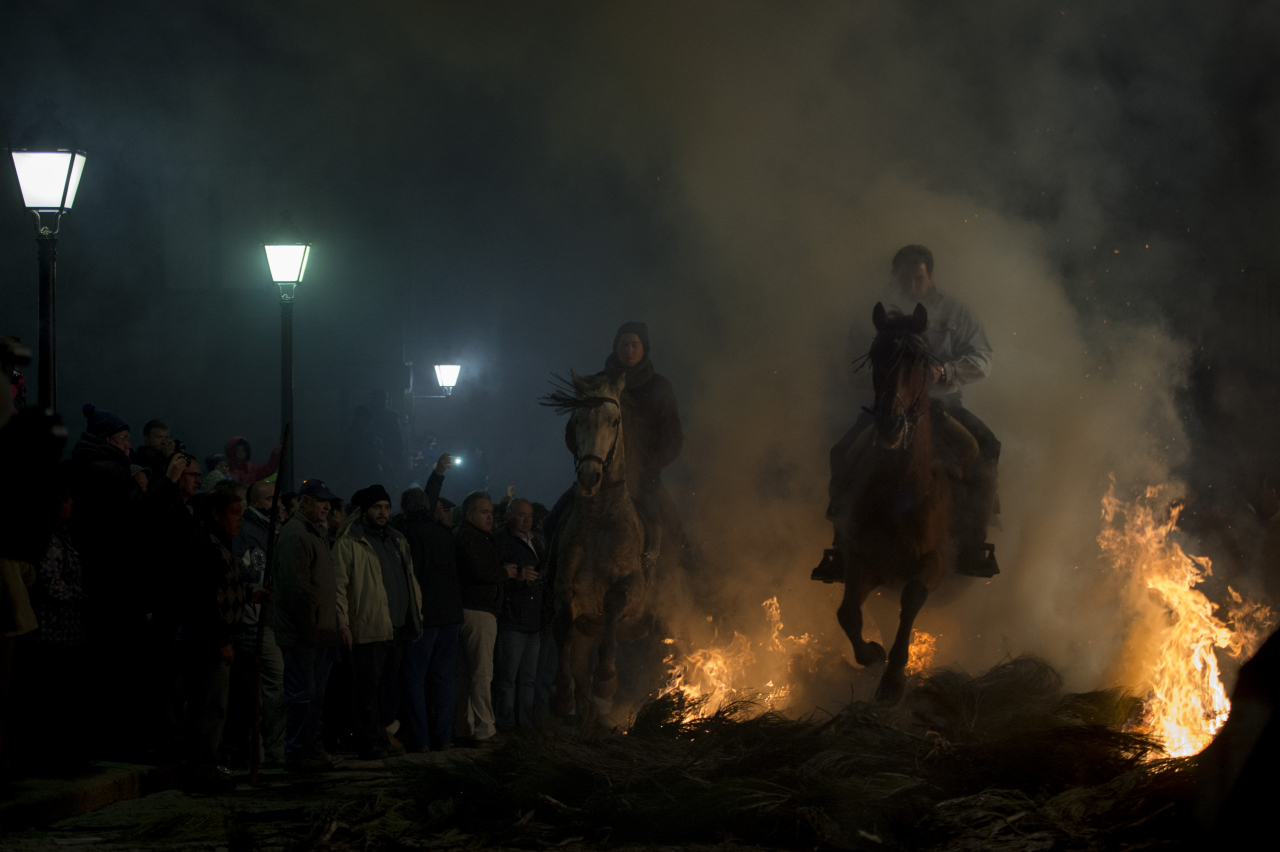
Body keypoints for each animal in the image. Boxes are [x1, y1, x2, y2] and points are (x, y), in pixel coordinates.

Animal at [834, 301, 957, 701]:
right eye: (876, 356)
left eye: (917, 359)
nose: (890, 423)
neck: (898, 494)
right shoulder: (862, 561)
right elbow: (847, 614)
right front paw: (873, 654)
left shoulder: (934, 564)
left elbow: (912, 599)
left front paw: (893, 679)